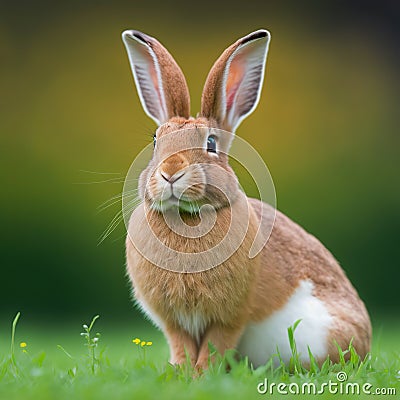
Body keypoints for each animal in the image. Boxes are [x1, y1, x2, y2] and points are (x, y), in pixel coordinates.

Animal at [120, 29, 370, 370]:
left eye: (211, 143)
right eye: (156, 140)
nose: (170, 173)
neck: (187, 217)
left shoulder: (230, 317)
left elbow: (216, 344)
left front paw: (203, 374)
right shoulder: (174, 322)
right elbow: (181, 345)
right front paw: (181, 372)